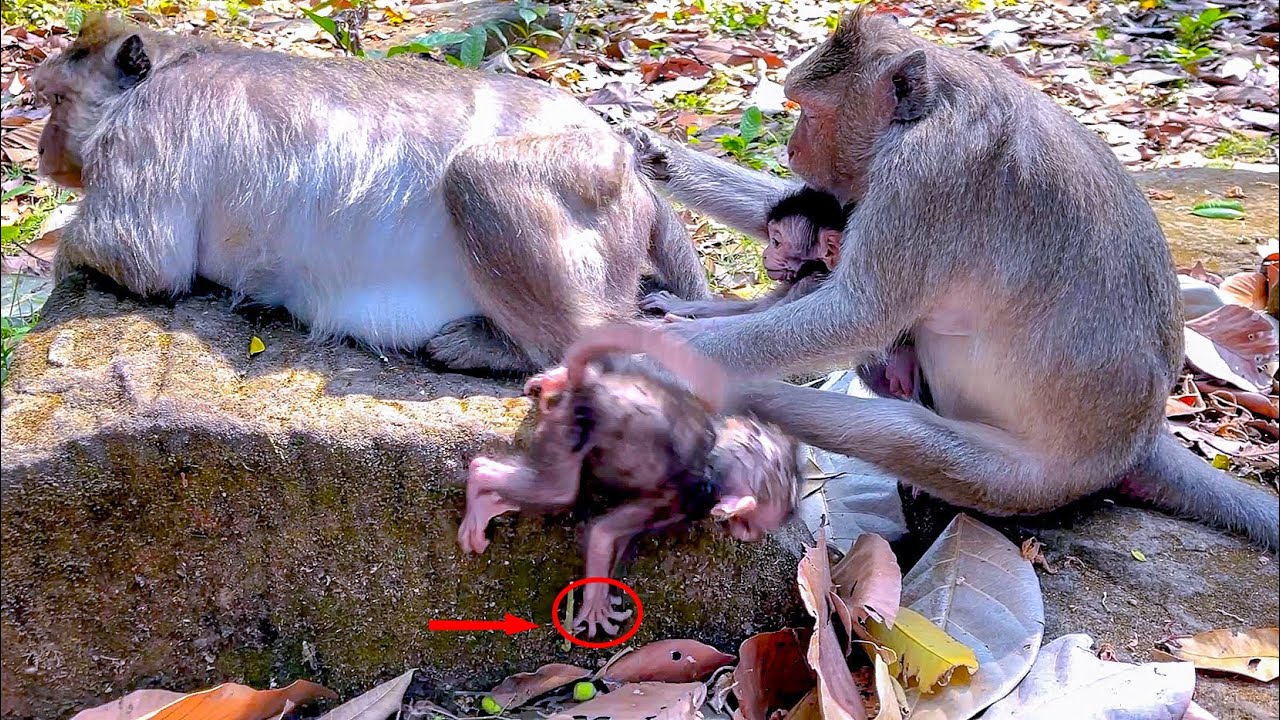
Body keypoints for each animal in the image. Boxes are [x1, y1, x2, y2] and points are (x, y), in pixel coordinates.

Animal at [30, 14, 710, 376]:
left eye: (56, 101)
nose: (40, 148)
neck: (178, 62)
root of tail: (635, 174)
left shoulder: (146, 130)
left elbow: (142, 259)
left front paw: (62, 264)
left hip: (586, 180)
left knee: (478, 176)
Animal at [458, 323, 803, 637]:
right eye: (751, 526)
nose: (749, 536)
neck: (715, 453)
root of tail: (591, 386)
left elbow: (619, 540)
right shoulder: (673, 502)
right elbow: (602, 533)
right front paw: (596, 607)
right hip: (573, 427)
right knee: (556, 490)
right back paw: (480, 483)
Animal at [619, 9, 1279, 551]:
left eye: (810, 112)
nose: (791, 149)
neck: (934, 105)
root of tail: (1141, 436)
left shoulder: (924, 179)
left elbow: (856, 315)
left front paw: (664, 346)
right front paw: (653, 154)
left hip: (1029, 480)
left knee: (901, 436)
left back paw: (744, 393)